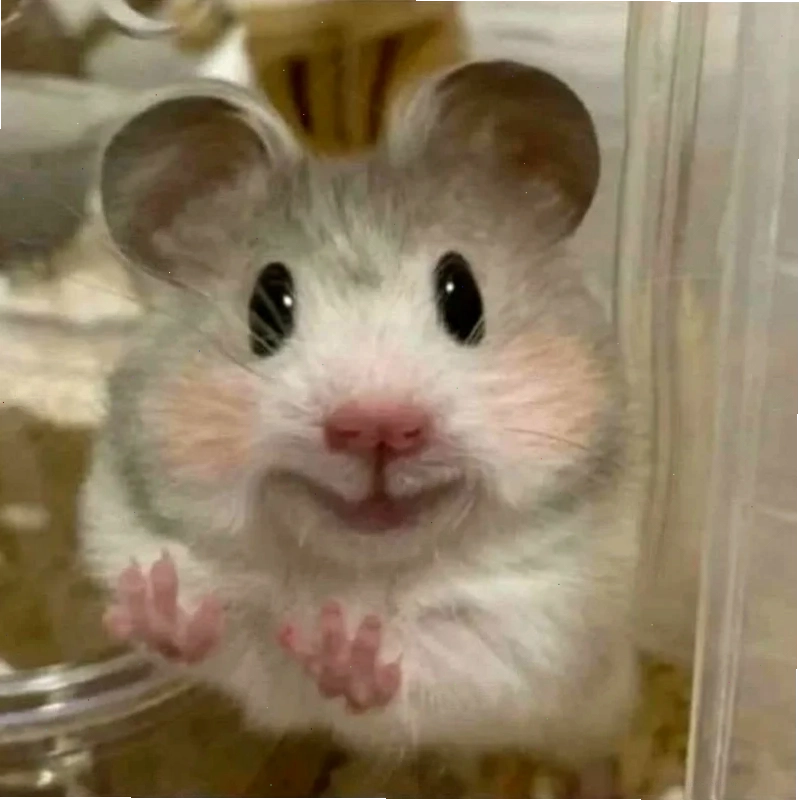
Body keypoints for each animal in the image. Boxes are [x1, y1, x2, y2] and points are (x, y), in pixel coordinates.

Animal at [79, 61, 643, 779]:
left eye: (463, 297)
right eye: (267, 305)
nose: (376, 427)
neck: (359, 568)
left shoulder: (536, 625)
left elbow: (427, 658)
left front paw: (344, 649)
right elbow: (235, 632)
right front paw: (156, 602)